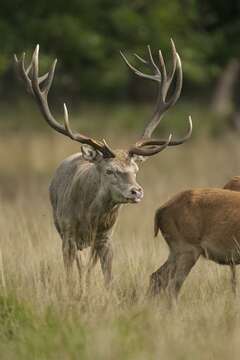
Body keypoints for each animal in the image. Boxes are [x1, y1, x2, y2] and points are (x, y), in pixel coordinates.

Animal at [14, 40, 192, 286]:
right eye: (109, 171)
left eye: (135, 169)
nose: (136, 191)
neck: (90, 217)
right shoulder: (68, 233)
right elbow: (72, 274)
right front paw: (76, 290)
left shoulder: (107, 237)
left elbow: (107, 277)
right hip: (62, 229)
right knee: (79, 266)